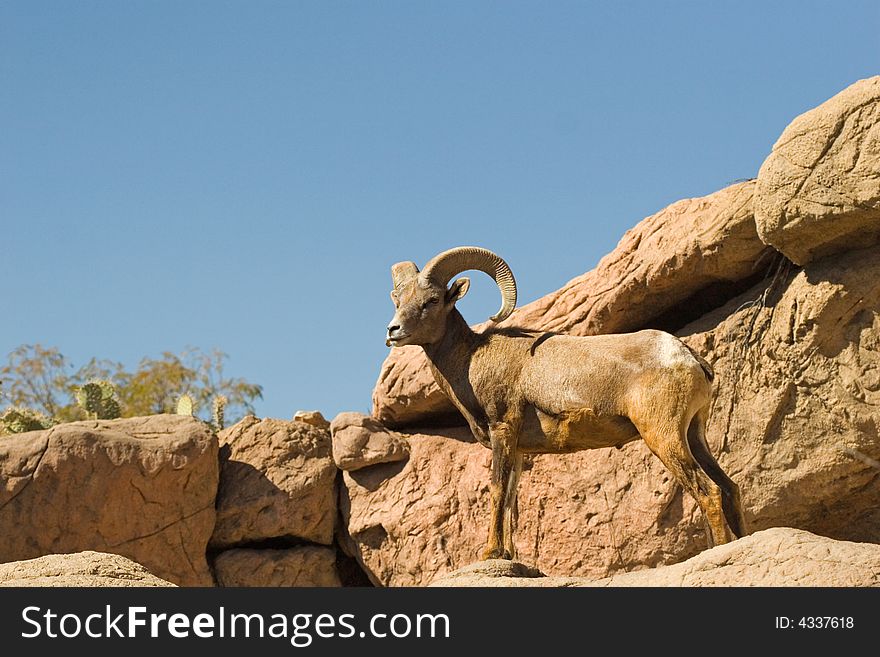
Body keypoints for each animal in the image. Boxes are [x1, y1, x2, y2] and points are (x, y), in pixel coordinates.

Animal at [384, 246, 744, 560]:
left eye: (431, 300)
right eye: (398, 300)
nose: (393, 330)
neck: (472, 360)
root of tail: (688, 358)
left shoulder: (503, 430)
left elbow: (497, 490)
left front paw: (490, 554)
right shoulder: (518, 449)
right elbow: (511, 500)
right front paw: (507, 555)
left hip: (663, 436)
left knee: (709, 491)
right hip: (693, 434)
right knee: (729, 488)